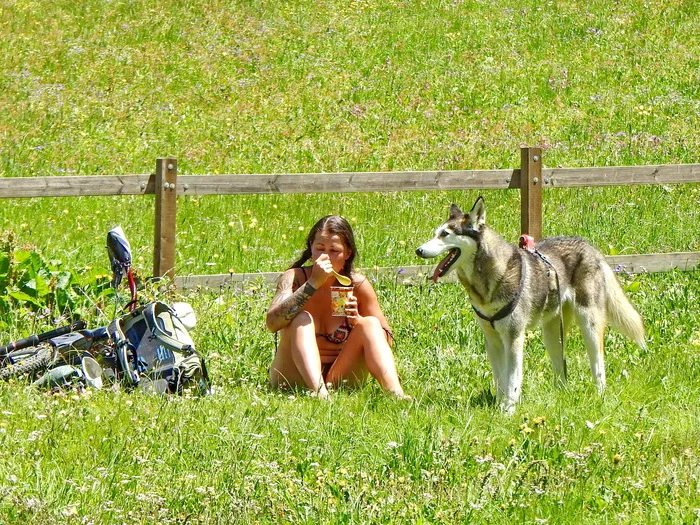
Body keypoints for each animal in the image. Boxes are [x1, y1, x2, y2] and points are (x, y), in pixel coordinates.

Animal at [416, 196, 644, 414]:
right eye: (436, 233)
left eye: (445, 234)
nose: (418, 250)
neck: (487, 282)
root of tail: (589, 246)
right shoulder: (492, 340)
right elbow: (500, 379)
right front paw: (499, 406)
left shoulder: (514, 337)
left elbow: (512, 380)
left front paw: (508, 410)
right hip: (553, 333)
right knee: (561, 368)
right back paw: (559, 396)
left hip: (589, 324)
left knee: (598, 365)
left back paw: (599, 395)